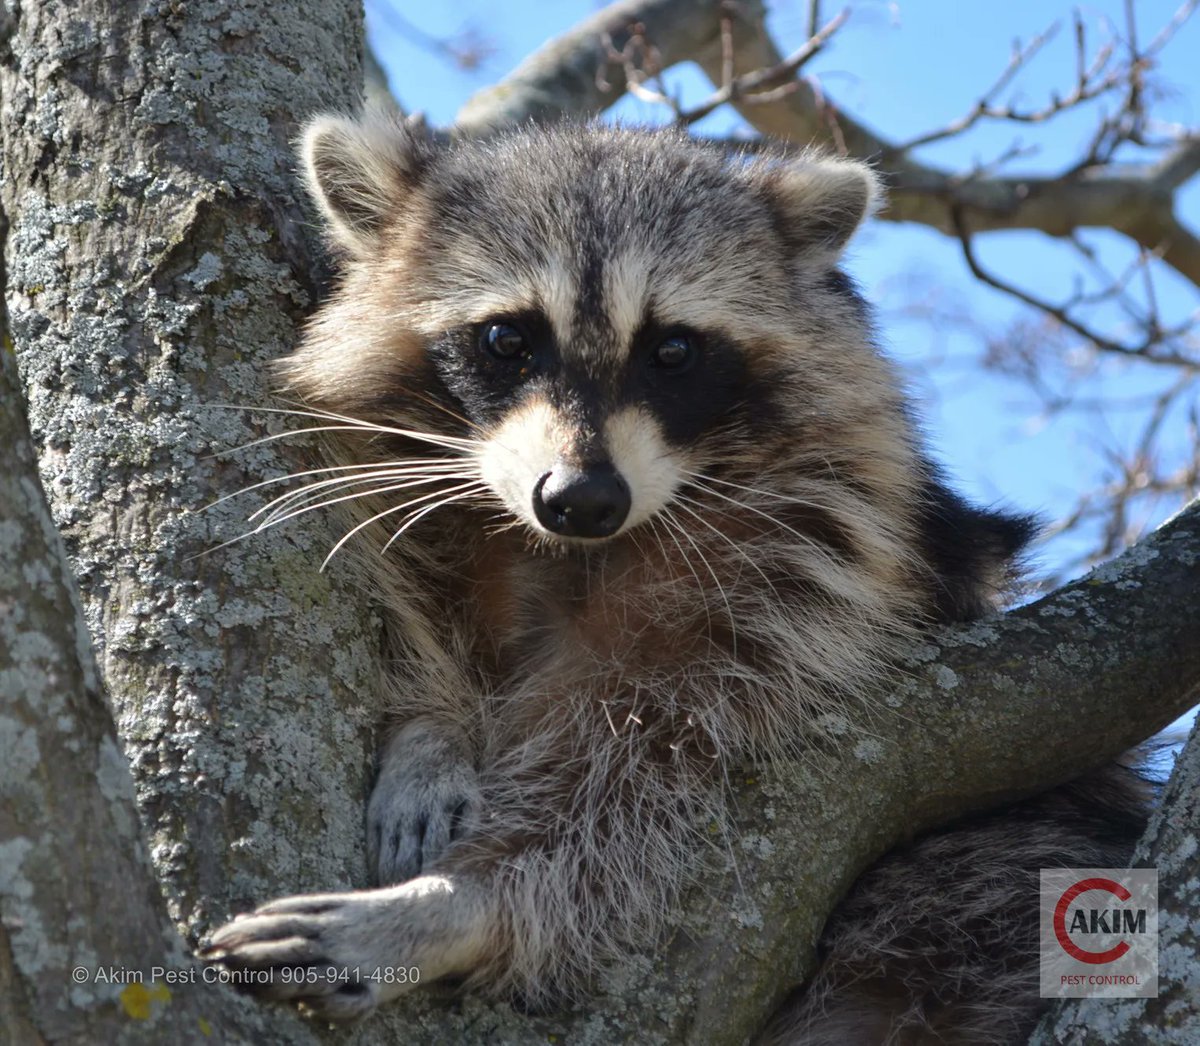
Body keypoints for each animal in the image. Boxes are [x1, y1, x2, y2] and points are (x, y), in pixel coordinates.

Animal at [202, 113, 1148, 1042]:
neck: (570, 554)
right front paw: (434, 722)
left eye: (673, 350)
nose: (581, 498)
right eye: (508, 339)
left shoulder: (797, 582)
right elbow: (403, 576)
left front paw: (447, 909)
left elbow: (616, 802)